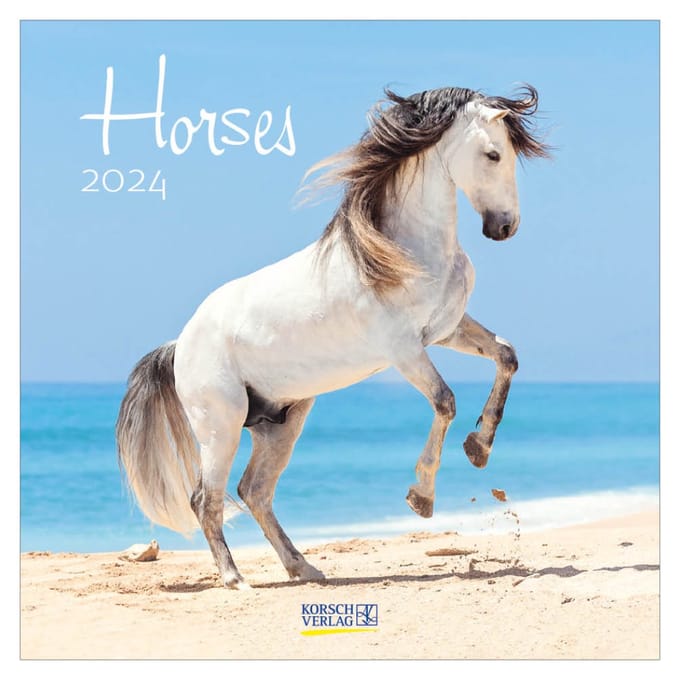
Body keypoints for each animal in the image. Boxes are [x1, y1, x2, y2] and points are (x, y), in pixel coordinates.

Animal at [116, 84, 548, 589]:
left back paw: (304, 567)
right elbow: (445, 401)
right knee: (206, 498)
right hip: (219, 427)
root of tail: (178, 346)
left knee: (254, 491)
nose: (504, 227)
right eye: (492, 154)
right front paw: (421, 497)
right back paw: (235, 578)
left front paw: (479, 448)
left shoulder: (446, 330)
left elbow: (506, 356)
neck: (399, 250)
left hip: (282, 422)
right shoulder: (404, 350)